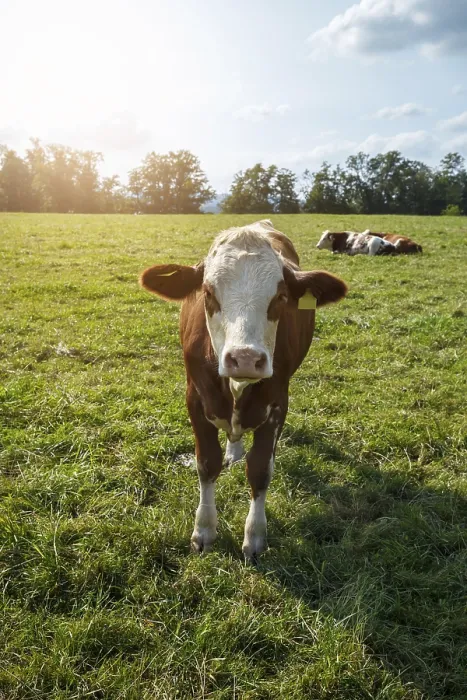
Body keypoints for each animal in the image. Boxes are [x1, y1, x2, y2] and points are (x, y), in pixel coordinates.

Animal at [140, 220, 347, 561]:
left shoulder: (277, 404)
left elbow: (260, 469)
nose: (246, 358)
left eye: (280, 296)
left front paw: (255, 536)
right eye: (208, 293)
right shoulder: (195, 399)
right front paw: (204, 529)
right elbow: (206, 463)